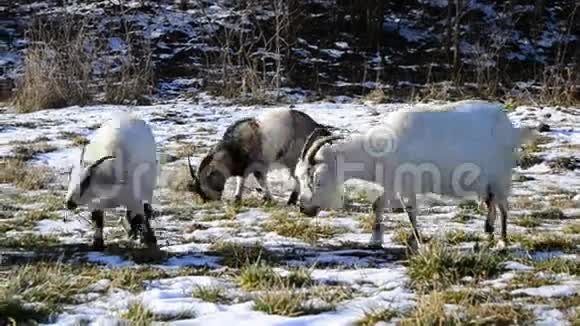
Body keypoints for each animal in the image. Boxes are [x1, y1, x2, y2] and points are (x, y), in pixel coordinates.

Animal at [65, 112, 157, 250]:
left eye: (86, 181)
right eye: (70, 177)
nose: (69, 203)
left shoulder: (134, 200)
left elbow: (140, 216)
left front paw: (148, 240)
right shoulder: (96, 204)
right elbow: (98, 220)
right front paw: (97, 244)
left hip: (148, 189)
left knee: (145, 210)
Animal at [296, 100, 532, 246]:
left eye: (316, 179)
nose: (303, 208)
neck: (380, 148)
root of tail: (511, 129)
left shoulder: (404, 182)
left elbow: (404, 210)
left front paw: (414, 240)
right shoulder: (394, 185)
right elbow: (384, 206)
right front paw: (379, 240)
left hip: (501, 177)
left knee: (503, 207)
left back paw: (502, 240)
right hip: (488, 183)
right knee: (491, 205)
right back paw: (488, 232)